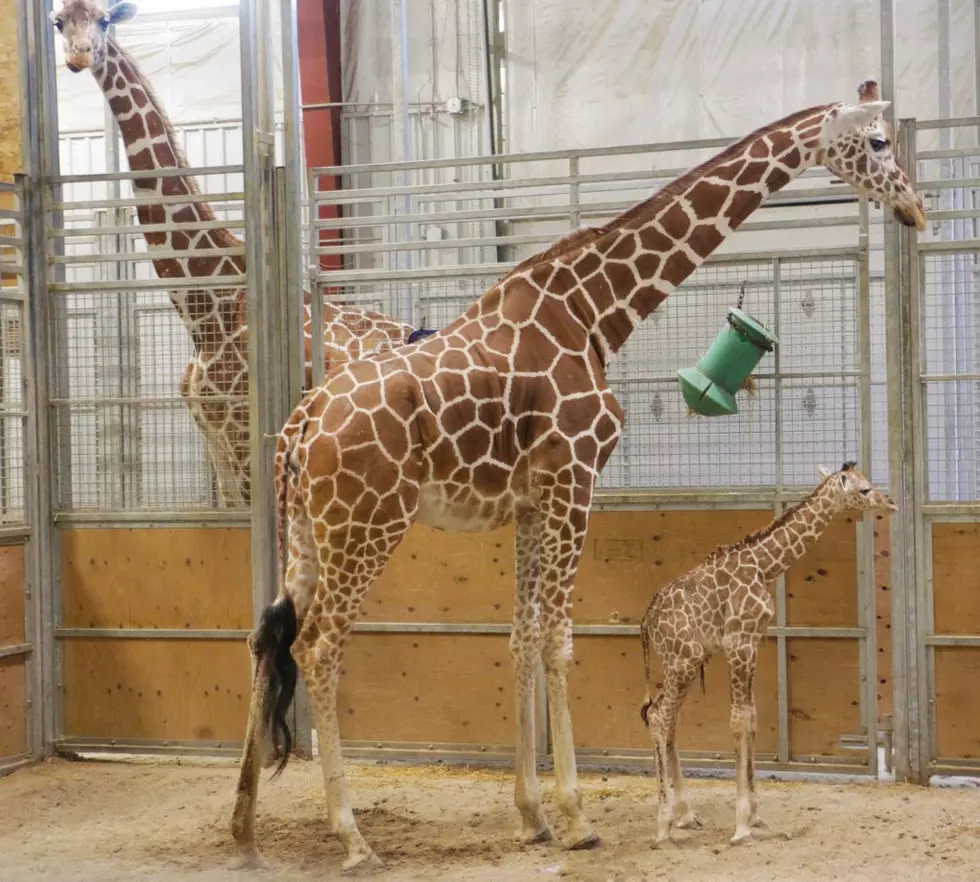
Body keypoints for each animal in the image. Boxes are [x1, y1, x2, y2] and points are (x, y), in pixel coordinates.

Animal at [50, 0, 418, 507]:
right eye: (59, 22)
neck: (201, 309)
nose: (80, 56)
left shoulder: (245, 432)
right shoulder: (215, 438)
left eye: (103, 20)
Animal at [639, 462, 896, 849]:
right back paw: (662, 826)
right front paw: (741, 826)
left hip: (684, 661)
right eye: (864, 490)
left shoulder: (754, 643)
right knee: (658, 716)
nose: (890, 502)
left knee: (668, 720)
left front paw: (756, 816)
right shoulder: (738, 641)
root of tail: (648, 620)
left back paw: (686, 815)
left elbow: (754, 717)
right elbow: (738, 721)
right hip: (683, 659)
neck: (763, 565)